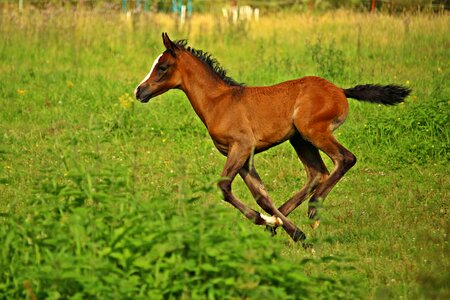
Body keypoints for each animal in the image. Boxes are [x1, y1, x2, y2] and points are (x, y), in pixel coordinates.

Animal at [134, 32, 412, 244]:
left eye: (162, 67)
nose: (139, 91)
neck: (219, 102)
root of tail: (341, 91)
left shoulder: (242, 146)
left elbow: (224, 188)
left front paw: (279, 225)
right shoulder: (241, 155)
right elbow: (262, 196)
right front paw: (279, 224)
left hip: (314, 132)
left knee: (345, 158)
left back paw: (314, 208)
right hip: (299, 139)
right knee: (317, 172)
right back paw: (284, 219)